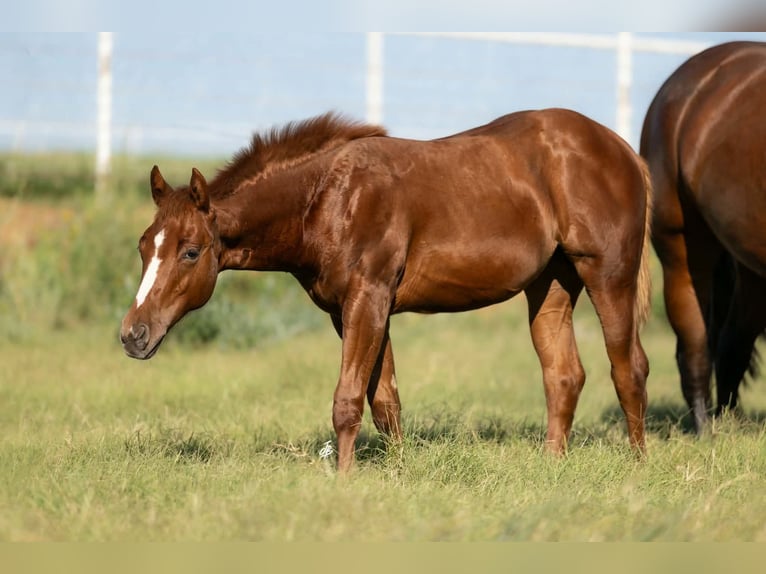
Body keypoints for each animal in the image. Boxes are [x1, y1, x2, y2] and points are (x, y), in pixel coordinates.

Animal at [120, 110, 653, 472]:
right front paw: (398, 473)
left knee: (629, 368)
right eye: (144, 247)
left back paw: (637, 465)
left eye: (191, 252)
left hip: (608, 274)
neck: (328, 197)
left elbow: (348, 401)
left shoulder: (368, 300)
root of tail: (623, 150)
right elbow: (384, 402)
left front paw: (344, 481)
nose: (132, 334)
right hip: (551, 284)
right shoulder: (351, 311)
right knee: (563, 374)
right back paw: (551, 464)